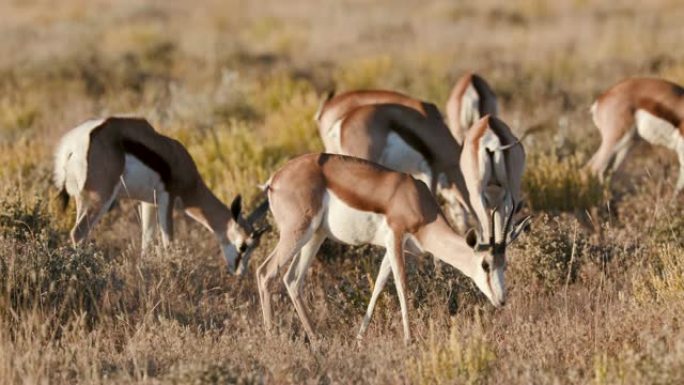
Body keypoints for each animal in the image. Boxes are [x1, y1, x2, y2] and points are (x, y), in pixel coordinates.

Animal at [52, 116, 268, 272]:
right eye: (244, 245)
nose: (240, 272)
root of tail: (75, 143)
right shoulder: (167, 198)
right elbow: (168, 242)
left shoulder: (148, 202)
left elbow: (146, 240)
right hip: (100, 199)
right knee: (78, 233)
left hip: (82, 199)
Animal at [256, 152, 528, 340]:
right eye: (485, 264)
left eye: (505, 264)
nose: (502, 300)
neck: (418, 203)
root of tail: (274, 179)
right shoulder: (395, 238)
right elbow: (401, 286)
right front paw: (409, 339)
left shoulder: (393, 247)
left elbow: (378, 285)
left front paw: (359, 338)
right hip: (296, 232)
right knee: (265, 272)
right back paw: (272, 340)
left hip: (315, 236)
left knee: (292, 279)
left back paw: (316, 340)